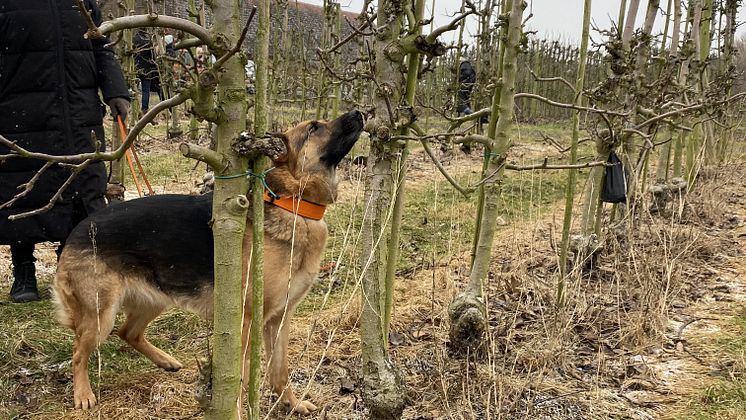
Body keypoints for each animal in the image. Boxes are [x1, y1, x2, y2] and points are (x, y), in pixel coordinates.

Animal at [52, 110, 364, 412]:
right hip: (100, 315)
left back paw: (165, 360)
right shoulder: (245, 321)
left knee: (128, 332)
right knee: (79, 351)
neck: (292, 204)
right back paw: (83, 394)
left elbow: (280, 370)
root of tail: (75, 232)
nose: (359, 113)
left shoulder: (280, 318)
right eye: (314, 127)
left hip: (156, 299)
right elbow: (238, 379)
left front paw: (291, 403)